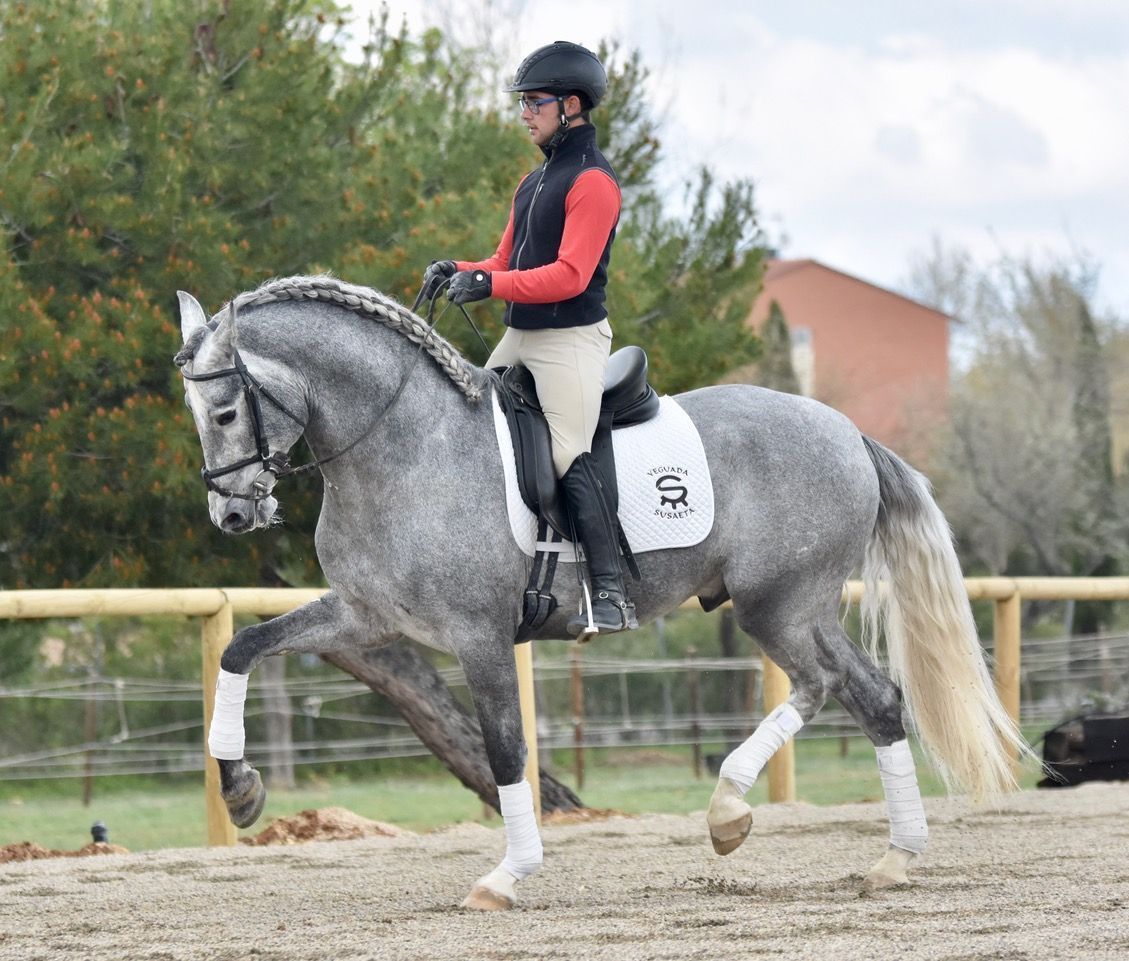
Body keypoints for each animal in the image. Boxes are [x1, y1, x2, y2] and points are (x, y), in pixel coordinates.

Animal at [175, 275, 1031, 910]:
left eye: (226, 409)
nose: (232, 514)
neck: (404, 446)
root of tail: (847, 430)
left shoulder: (479, 634)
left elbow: (505, 748)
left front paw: (505, 875)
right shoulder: (365, 617)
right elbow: (244, 647)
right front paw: (241, 789)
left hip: (780, 603)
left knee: (830, 685)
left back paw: (733, 811)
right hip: (797, 606)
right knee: (871, 696)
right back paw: (889, 858)